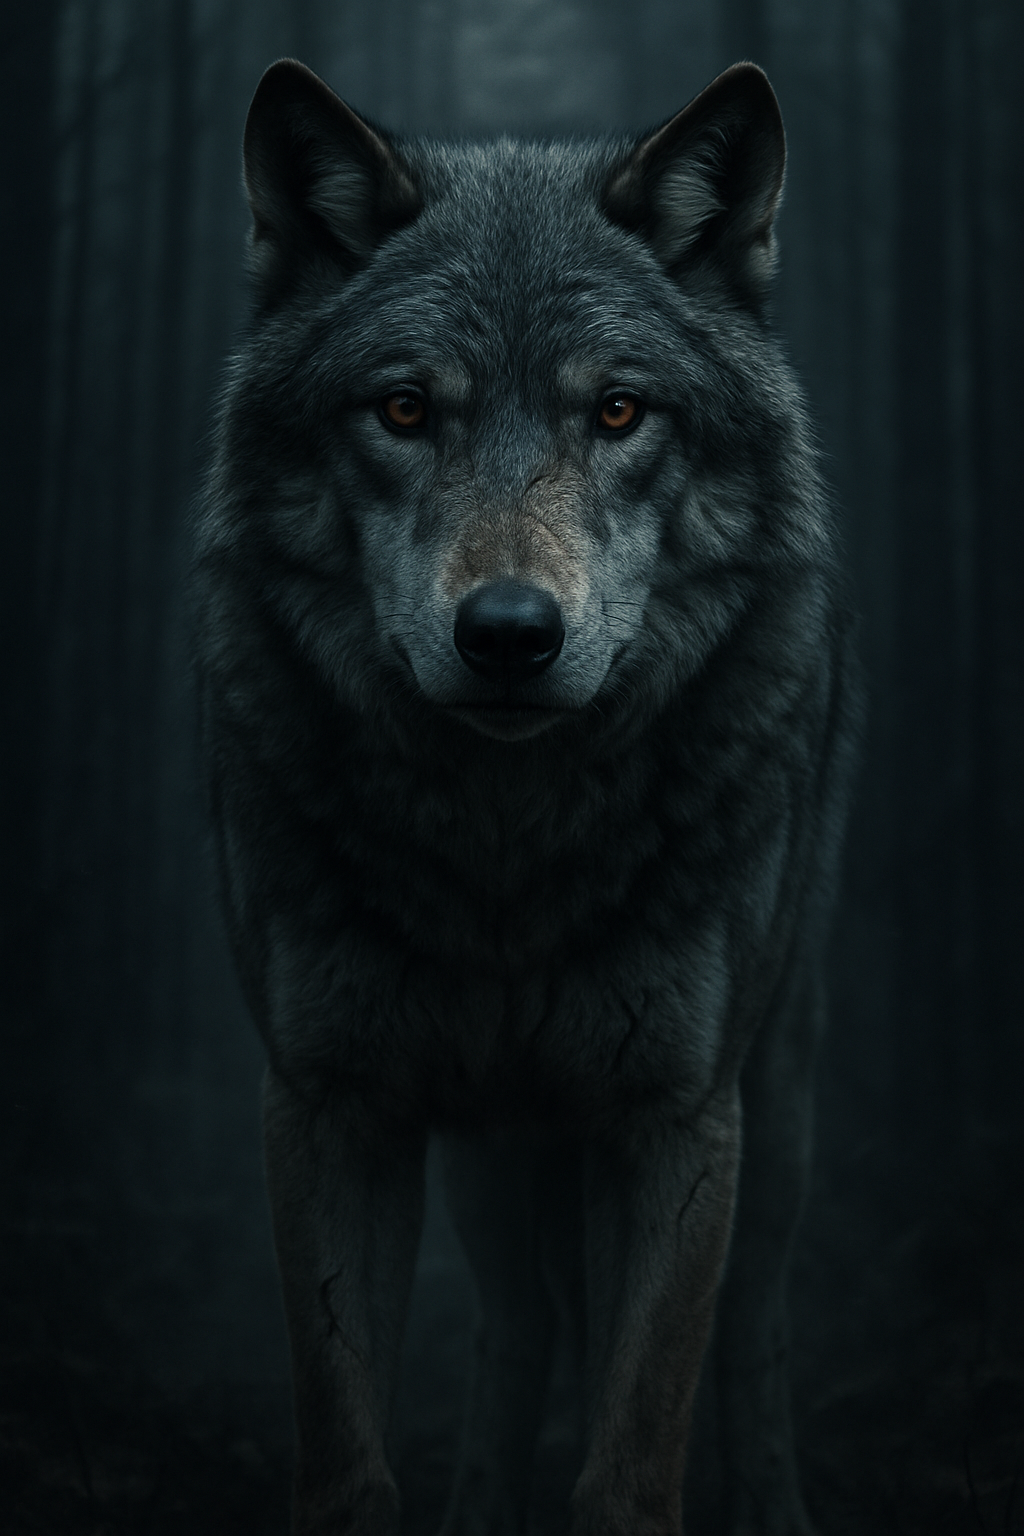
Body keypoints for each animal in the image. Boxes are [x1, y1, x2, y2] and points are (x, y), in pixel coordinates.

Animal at [193, 55, 859, 1536]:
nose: (508, 634)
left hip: (775, 1115)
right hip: (498, 1158)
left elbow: (633, 1462)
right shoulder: (327, 1104)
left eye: (616, 411)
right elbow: (347, 1462)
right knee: (521, 1332)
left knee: (760, 1337)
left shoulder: (677, 1121)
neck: (507, 859)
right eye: (402, 409)